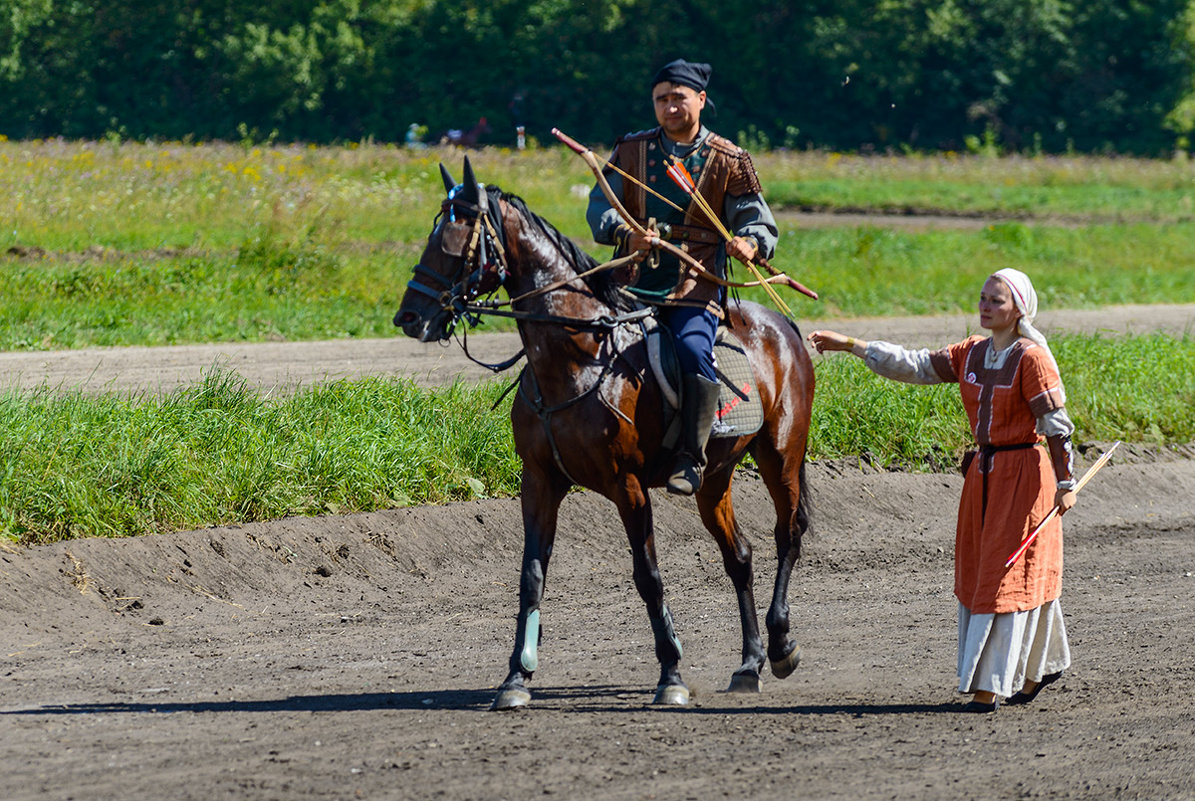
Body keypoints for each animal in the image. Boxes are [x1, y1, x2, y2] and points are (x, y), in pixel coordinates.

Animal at [391, 160, 812, 712]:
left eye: (458, 242)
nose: (409, 316)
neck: (579, 358)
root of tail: (782, 324)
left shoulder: (627, 486)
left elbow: (648, 576)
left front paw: (671, 673)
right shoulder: (539, 481)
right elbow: (531, 576)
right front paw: (516, 676)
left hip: (780, 455)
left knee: (788, 534)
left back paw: (781, 644)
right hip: (715, 476)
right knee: (738, 557)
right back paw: (749, 663)